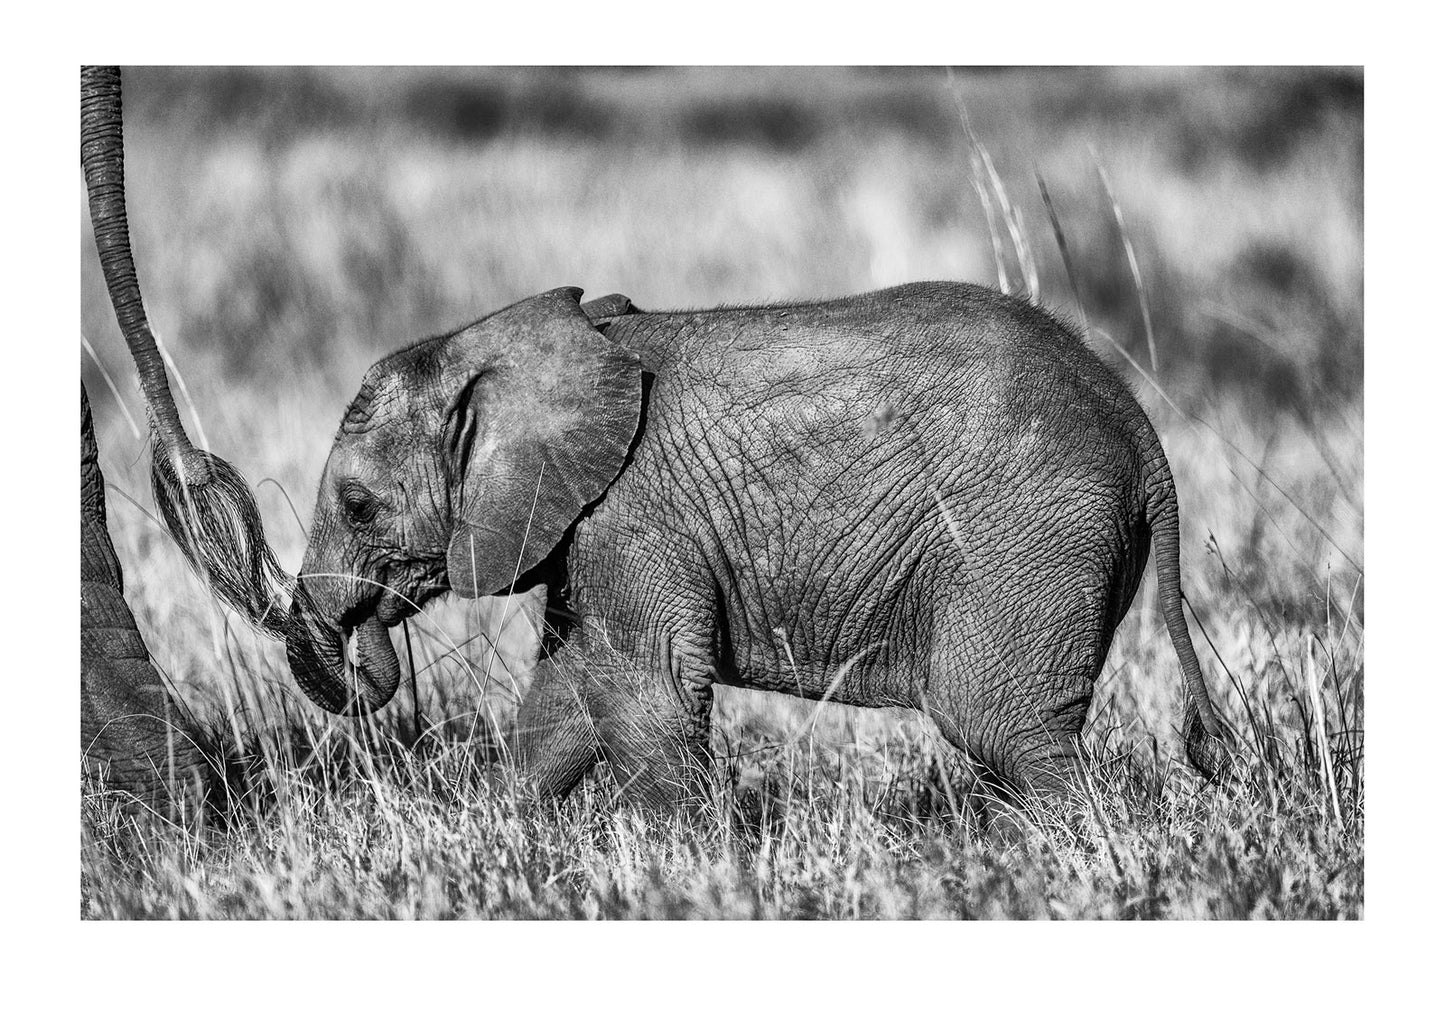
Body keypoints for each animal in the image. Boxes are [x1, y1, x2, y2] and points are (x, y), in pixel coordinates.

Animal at [283, 281, 1229, 811]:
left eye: (358, 505)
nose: (364, 623)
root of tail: (1139, 426)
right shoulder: (592, 529)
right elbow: (569, 691)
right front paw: (496, 833)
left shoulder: (634, 514)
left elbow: (647, 691)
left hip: (1026, 533)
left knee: (999, 721)